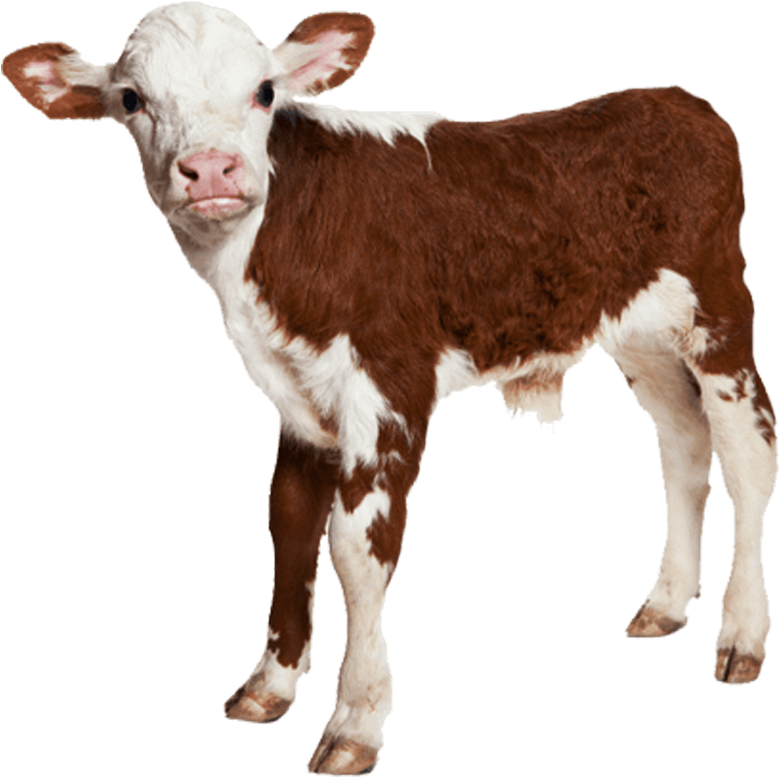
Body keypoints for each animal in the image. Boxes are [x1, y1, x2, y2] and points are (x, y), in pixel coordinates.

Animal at [3, 2, 776, 774]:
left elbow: (357, 548)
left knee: (748, 451)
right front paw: (269, 685)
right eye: (132, 99)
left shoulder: (390, 385)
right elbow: (289, 523)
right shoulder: (297, 398)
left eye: (264, 92)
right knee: (682, 443)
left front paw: (355, 719)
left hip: (717, 307)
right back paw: (667, 603)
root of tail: (669, 98)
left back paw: (741, 634)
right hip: (638, 334)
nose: (212, 169)